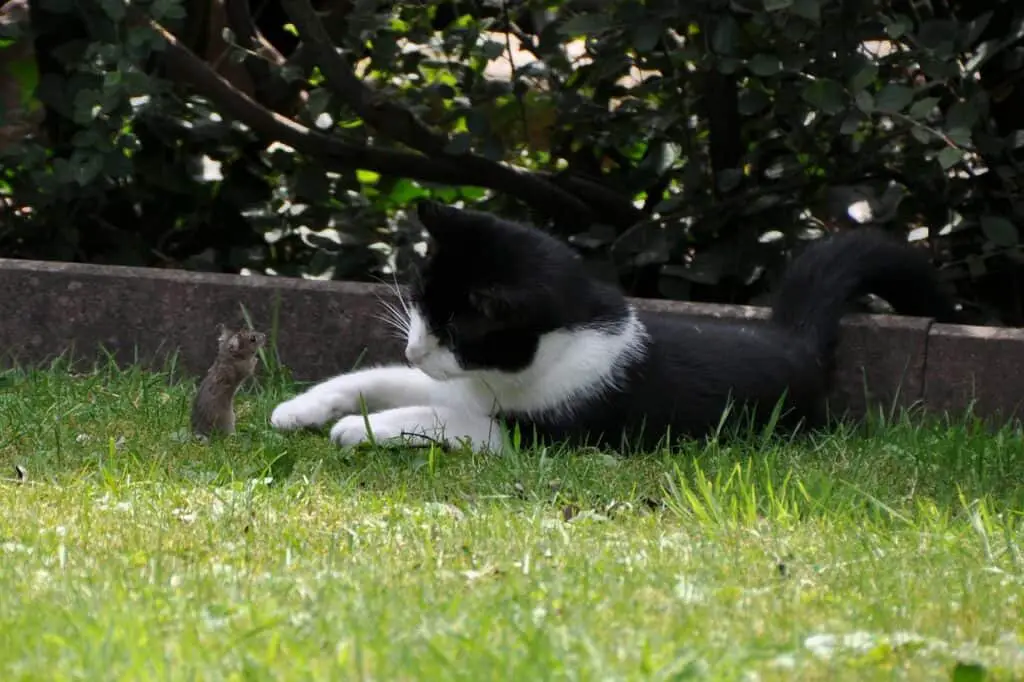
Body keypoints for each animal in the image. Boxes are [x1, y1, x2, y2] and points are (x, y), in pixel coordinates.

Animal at [270, 197, 958, 450]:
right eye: (417, 301)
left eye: (459, 331)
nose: (418, 350)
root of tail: (792, 338)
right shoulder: (466, 385)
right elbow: (377, 377)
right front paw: (300, 409)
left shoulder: (543, 435)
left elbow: (440, 415)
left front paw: (364, 428)